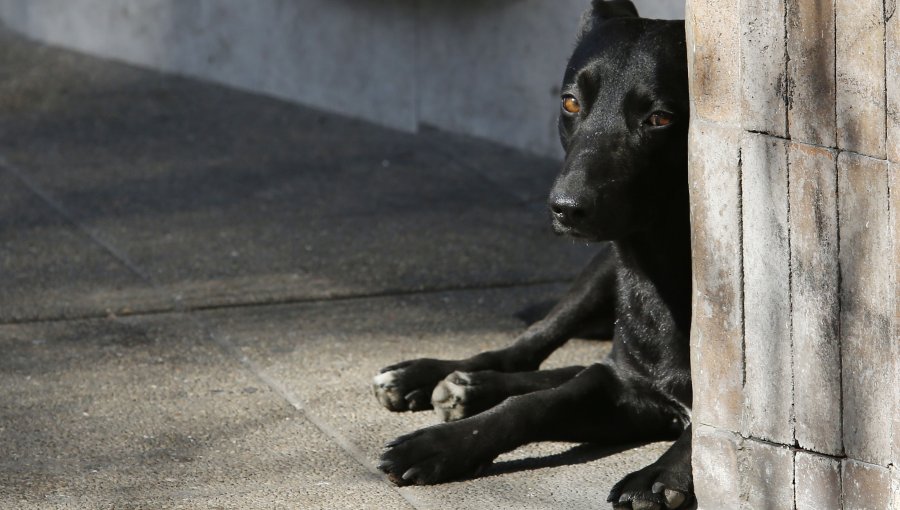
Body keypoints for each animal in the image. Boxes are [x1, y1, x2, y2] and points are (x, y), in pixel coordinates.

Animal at [370, 1, 692, 508]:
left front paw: (659, 475)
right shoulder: (624, 391)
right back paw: (437, 377)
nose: (566, 208)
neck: (667, 267)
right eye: (571, 103)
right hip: (598, 274)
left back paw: (464, 386)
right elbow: (530, 405)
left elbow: (707, 438)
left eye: (660, 118)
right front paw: (441, 445)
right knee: (533, 346)